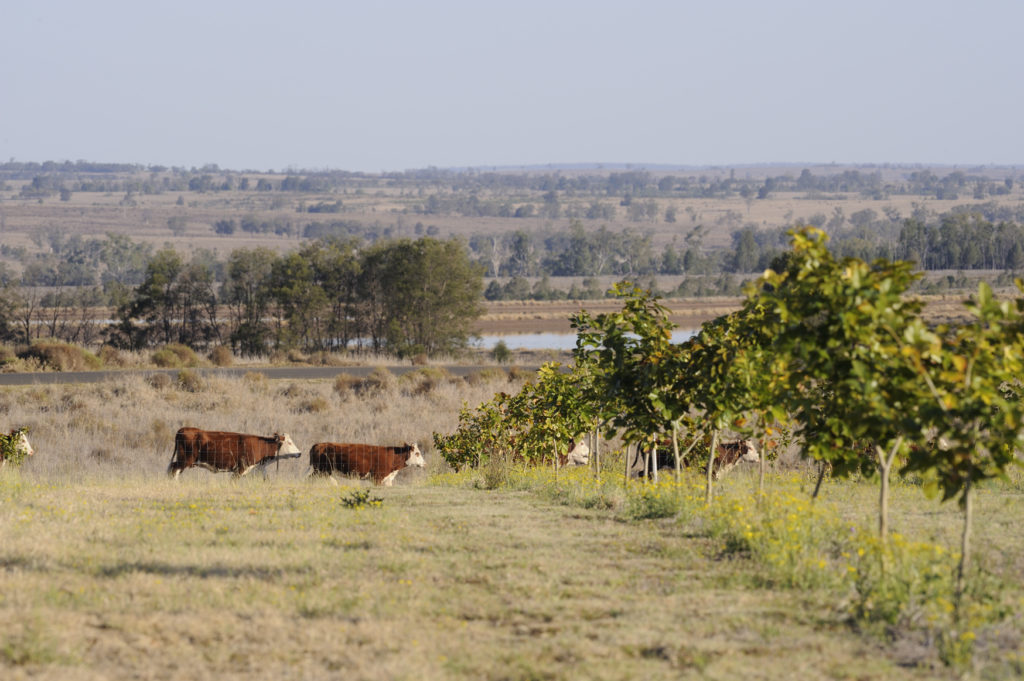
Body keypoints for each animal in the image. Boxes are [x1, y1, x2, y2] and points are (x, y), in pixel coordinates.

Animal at [167, 427, 302, 478]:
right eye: (289, 442)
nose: (299, 453)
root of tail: (183, 429)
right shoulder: (240, 469)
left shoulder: (259, 468)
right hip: (185, 460)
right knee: (174, 470)